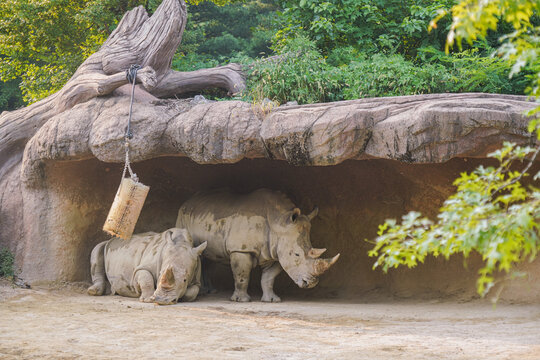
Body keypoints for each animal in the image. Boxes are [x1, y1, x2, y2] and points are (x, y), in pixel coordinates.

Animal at [176, 190, 338, 302]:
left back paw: (211, 291)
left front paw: (272, 300)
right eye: (297, 254)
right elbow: (242, 275)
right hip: (183, 216)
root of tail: (188, 201)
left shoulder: (276, 252)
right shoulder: (241, 249)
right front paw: (241, 300)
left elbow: (269, 277)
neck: (278, 223)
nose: (311, 283)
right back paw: (205, 292)